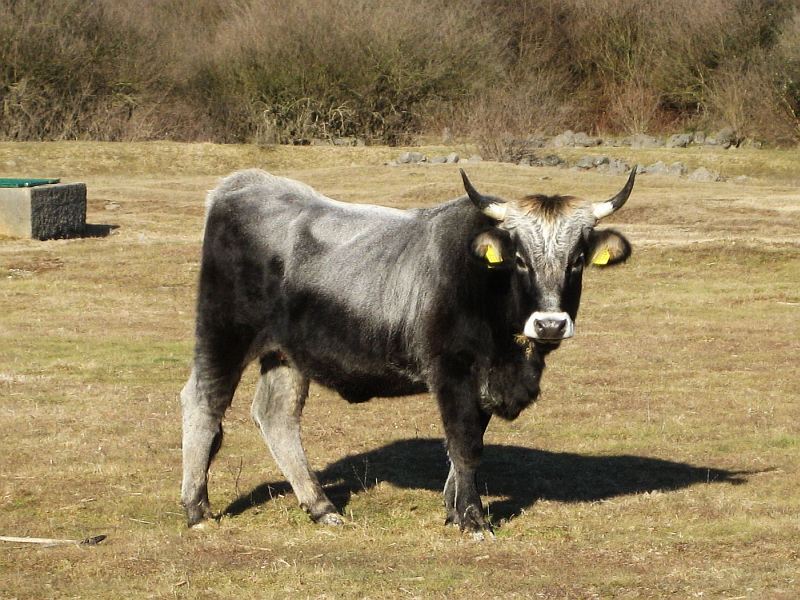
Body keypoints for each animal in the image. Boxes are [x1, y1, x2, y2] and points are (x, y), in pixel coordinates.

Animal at [180, 166, 636, 538]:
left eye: (577, 259)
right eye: (520, 259)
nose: (550, 324)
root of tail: (240, 185)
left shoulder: (483, 383)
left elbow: (468, 442)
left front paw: (454, 509)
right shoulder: (452, 372)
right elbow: (465, 443)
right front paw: (474, 519)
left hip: (287, 354)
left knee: (276, 416)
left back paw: (321, 506)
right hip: (223, 335)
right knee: (203, 403)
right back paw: (197, 509)